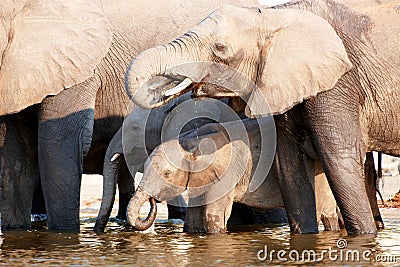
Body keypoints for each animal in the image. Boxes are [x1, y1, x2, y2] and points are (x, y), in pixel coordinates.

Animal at [127, 118, 344, 233]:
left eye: (167, 173)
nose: (153, 200)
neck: (188, 141)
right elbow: (193, 218)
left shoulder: (225, 173)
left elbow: (213, 214)